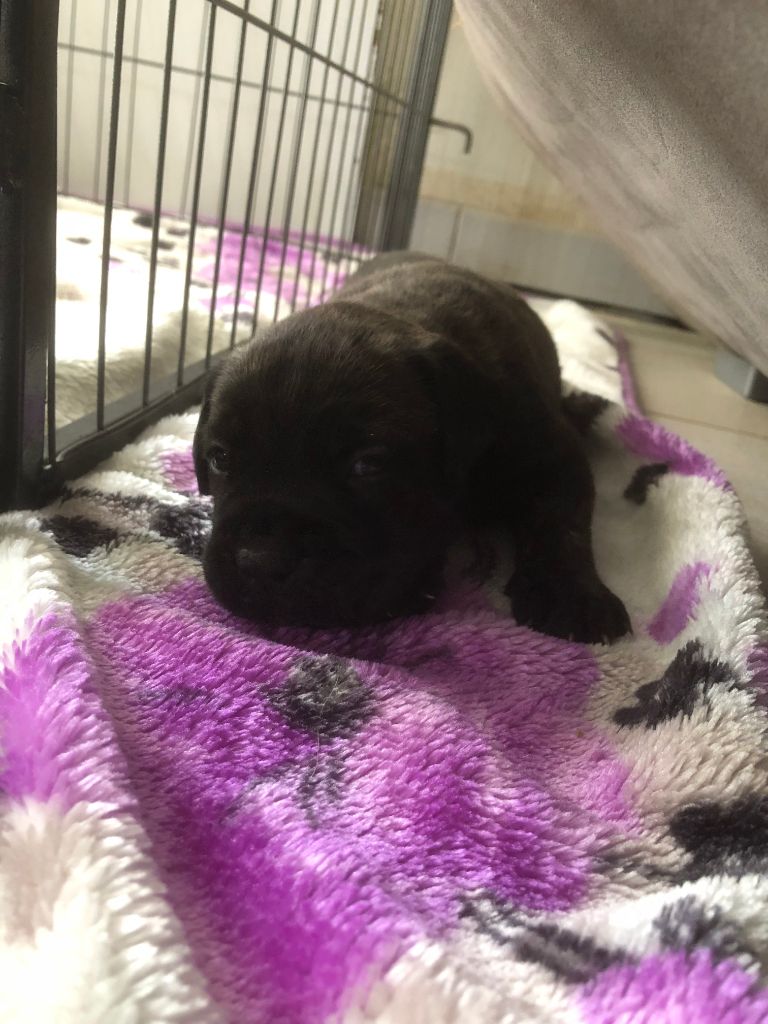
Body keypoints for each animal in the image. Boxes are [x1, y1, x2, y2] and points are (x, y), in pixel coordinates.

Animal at [193, 252, 630, 643]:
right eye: (220, 459)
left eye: (367, 465)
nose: (260, 562)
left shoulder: (551, 455)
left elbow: (562, 519)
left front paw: (572, 594)